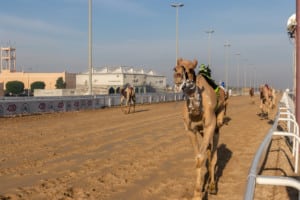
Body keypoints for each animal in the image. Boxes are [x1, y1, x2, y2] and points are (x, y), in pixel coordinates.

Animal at [173, 57, 225, 198]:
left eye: (190, 69)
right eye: (174, 68)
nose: (178, 77)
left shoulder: (210, 126)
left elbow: (201, 157)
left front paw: (198, 194)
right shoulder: (191, 130)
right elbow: (197, 157)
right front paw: (197, 192)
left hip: (217, 126)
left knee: (213, 155)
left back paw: (212, 187)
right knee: (209, 150)